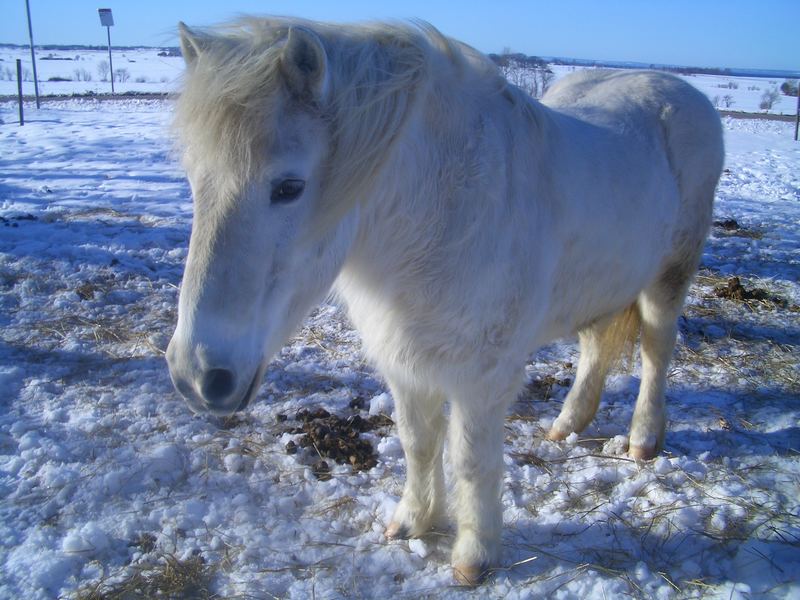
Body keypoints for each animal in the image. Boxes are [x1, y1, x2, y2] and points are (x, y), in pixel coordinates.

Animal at [167, 17, 724, 580]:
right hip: (599, 284)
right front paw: (414, 521)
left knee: (656, 351)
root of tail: (675, 87)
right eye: (193, 179)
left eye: (289, 187)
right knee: (594, 348)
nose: (197, 377)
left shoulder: (482, 379)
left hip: (669, 277)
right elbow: (418, 443)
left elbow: (470, 459)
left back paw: (643, 439)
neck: (444, 212)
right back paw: (566, 425)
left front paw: (474, 557)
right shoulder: (405, 361)